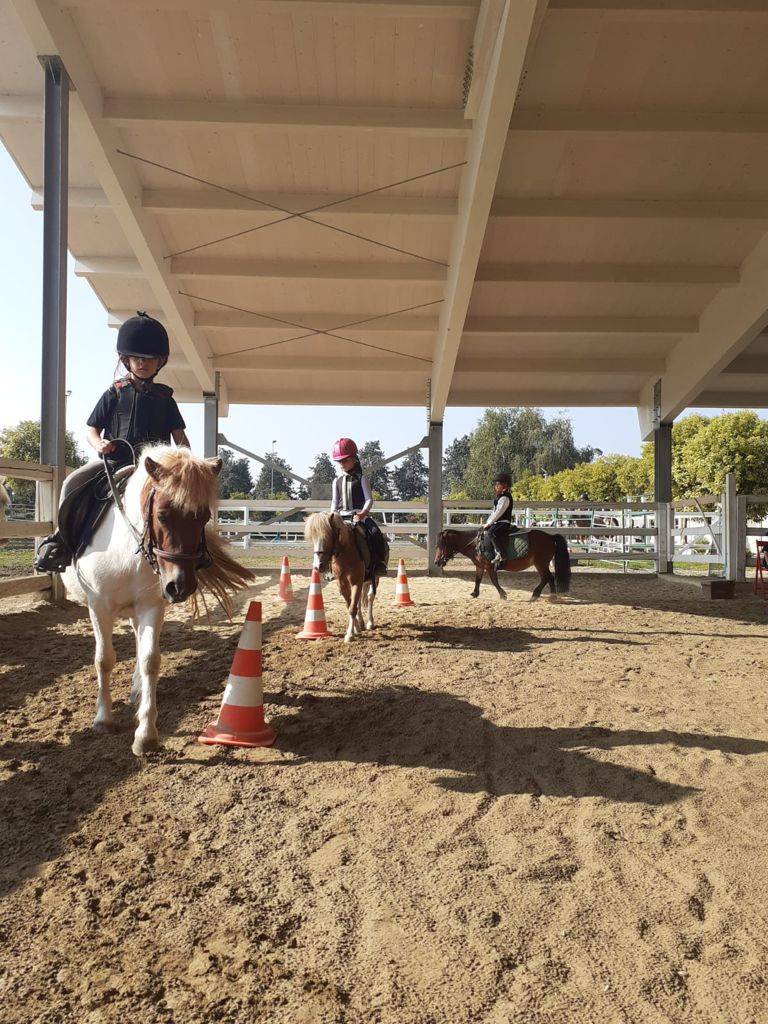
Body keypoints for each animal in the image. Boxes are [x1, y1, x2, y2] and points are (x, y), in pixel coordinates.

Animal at [62, 444, 252, 757]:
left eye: (203, 517)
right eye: (162, 515)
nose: (181, 586)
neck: (126, 552)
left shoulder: (151, 607)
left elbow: (150, 660)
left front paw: (146, 734)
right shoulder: (98, 607)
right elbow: (104, 659)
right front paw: (103, 719)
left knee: (140, 646)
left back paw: (137, 691)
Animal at [303, 509, 382, 643]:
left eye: (328, 536)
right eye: (313, 538)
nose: (318, 566)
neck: (346, 553)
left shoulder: (356, 582)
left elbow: (352, 608)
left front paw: (350, 634)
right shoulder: (342, 584)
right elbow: (350, 605)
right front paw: (356, 629)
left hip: (374, 578)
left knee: (370, 597)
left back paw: (370, 623)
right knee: (359, 601)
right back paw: (361, 623)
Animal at [434, 528, 573, 598]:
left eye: (441, 545)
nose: (436, 562)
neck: (475, 544)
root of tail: (550, 537)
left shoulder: (489, 566)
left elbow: (494, 581)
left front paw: (503, 594)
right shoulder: (480, 566)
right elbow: (478, 579)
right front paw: (475, 593)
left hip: (541, 563)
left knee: (547, 577)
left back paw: (541, 595)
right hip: (541, 564)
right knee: (548, 578)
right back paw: (546, 595)